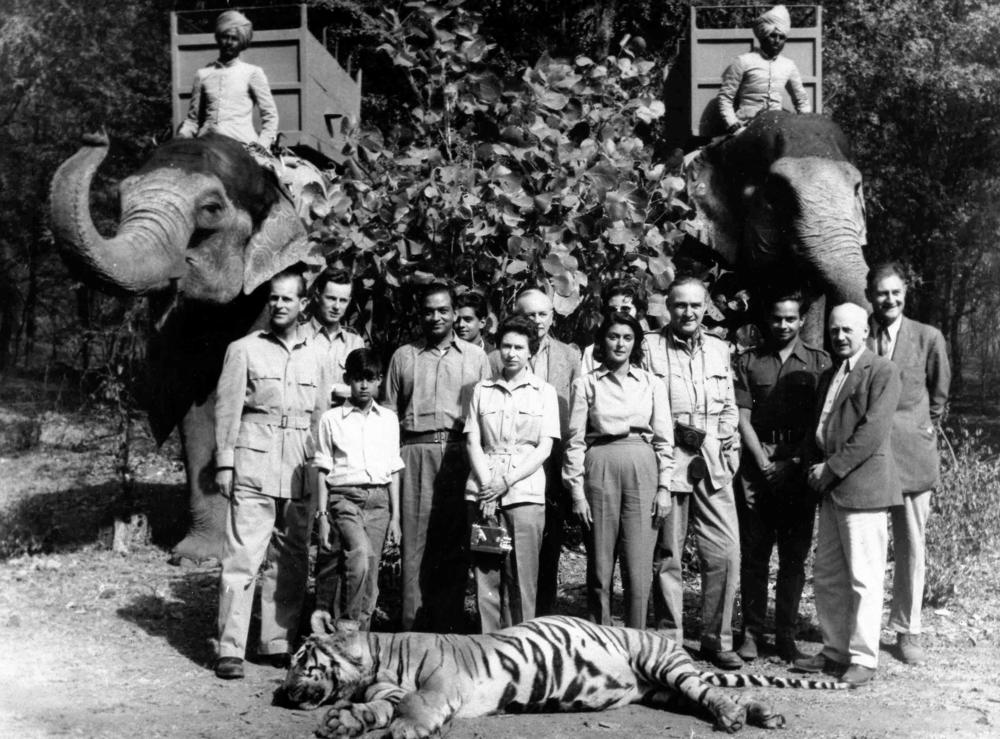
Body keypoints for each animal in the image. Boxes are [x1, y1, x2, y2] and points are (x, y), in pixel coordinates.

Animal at [49, 133, 320, 560]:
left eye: (210, 209)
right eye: (121, 200)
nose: (96, 138)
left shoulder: (264, 296)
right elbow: (201, 412)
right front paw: (196, 554)